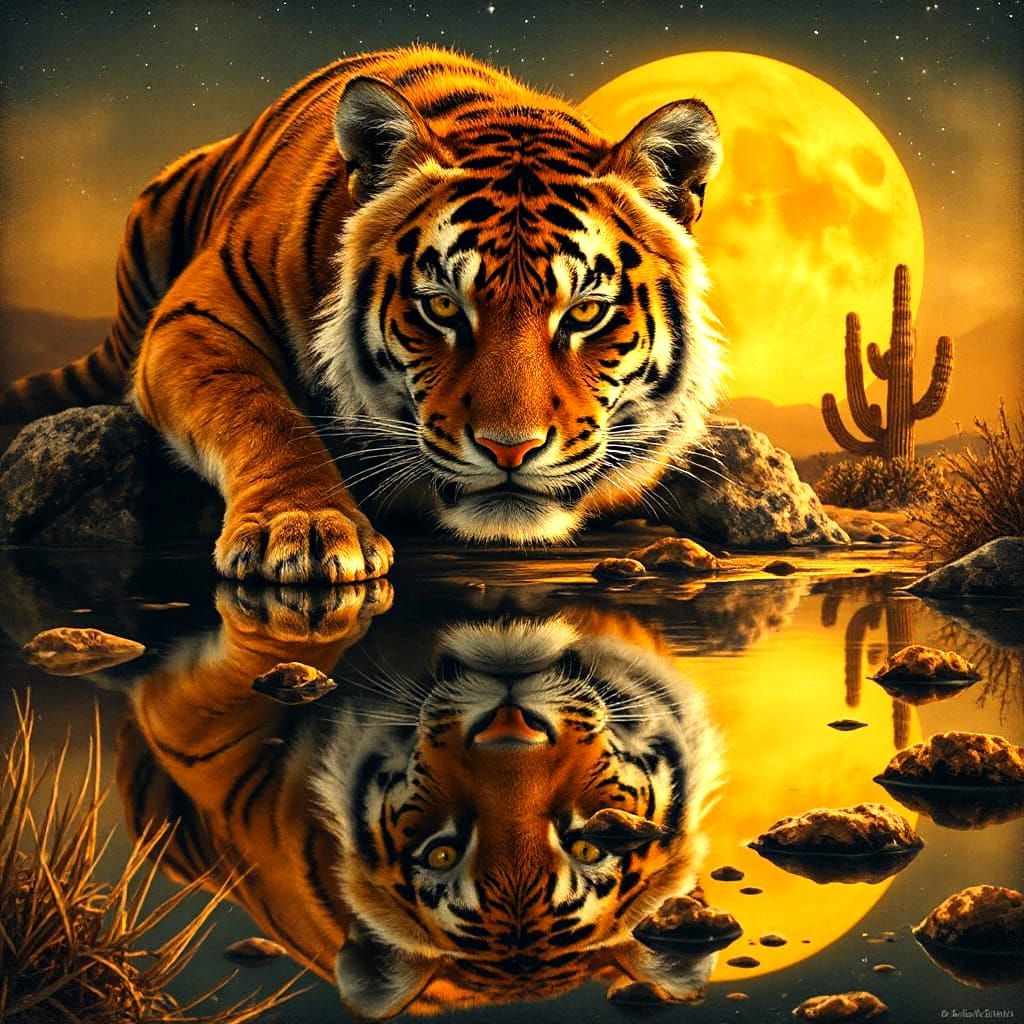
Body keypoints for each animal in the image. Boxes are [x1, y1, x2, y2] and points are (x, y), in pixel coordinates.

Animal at [0, 46, 724, 583]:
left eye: (584, 313)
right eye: (442, 307)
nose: (508, 450)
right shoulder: (198, 317)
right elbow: (259, 412)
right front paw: (304, 527)